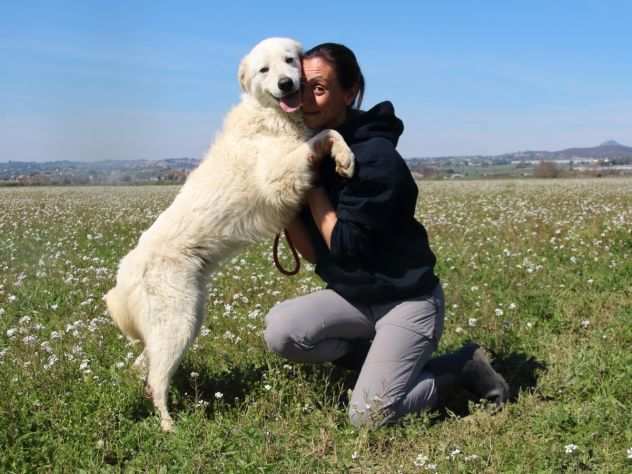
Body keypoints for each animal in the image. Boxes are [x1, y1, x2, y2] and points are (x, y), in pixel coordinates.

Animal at [106, 36, 358, 430]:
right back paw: (170, 427)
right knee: (155, 380)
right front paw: (344, 157)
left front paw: (345, 157)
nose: (286, 84)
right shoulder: (279, 177)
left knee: (142, 367)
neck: (273, 117)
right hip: (177, 324)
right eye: (264, 70)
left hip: (186, 320)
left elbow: (327, 132)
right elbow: (326, 133)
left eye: (290, 61)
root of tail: (126, 270)